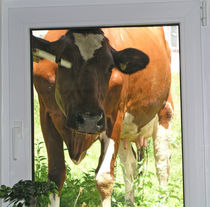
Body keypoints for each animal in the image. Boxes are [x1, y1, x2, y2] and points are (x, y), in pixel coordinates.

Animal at [32, 26, 172, 206]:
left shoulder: (114, 117)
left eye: (110, 67)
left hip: (165, 111)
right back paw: (129, 201)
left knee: (162, 163)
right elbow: (56, 176)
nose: (89, 120)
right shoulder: (47, 114)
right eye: (62, 62)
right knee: (130, 165)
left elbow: (104, 178)